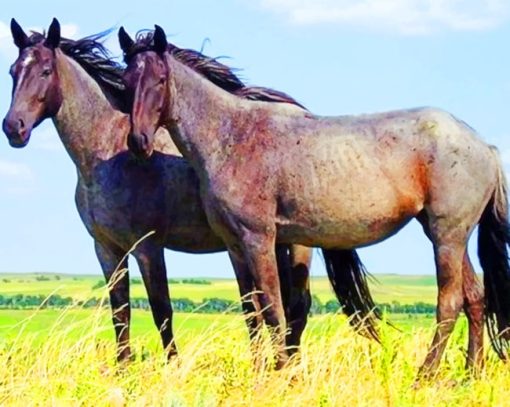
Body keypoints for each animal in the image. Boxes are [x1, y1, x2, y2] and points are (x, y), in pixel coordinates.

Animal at [1, 19, 328, 362]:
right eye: (13, 71)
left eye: (45, 71)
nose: (13, 127)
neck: (105, 154)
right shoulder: (107, 249)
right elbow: (120, 314)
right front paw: (123, 368)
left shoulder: (148, 246)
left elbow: (162, 311)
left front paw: (171, 367)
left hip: (297, 244)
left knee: (296, 308)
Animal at [117, 23, 510, 378]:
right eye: (126, 81)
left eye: (160, 80)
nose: (138, 142)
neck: (231, 137)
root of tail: (483, 146)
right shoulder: (234, 245)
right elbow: (251, 311)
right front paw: (259, 373)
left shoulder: (259, 239)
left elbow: (272, 307)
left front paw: (279, 373)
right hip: (445, 234)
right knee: (475, 298)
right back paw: (471, 373)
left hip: (447, 236)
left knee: (450, 302)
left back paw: (425, 376)